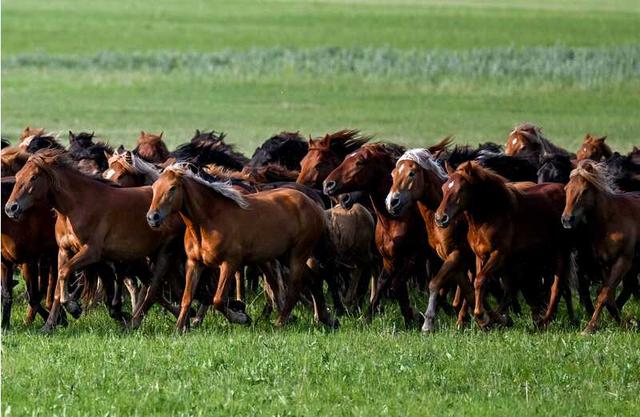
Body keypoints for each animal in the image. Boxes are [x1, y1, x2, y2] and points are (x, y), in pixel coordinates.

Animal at [145, 164, 336, 330]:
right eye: (154, 187)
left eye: (172, 188)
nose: (152, 217)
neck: (208, 221)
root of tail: (314, 205)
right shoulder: (194, 263)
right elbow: (186, 297)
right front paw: (179, 329)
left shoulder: (230, 263)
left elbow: (218, 299)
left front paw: (242, 318)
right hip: (285, 255)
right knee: (313, 279)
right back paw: (327, 320)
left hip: (298, 254)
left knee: (295, 287)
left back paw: (280, 323)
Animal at [560, 159, 640, 332]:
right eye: (566, 189)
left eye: (584, 191)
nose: (567, 220)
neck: (610, 221)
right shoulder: (605, 264)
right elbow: (607, 294)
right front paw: (622, 323)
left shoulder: (623, 261)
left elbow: (604, 294)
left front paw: (590, 327)